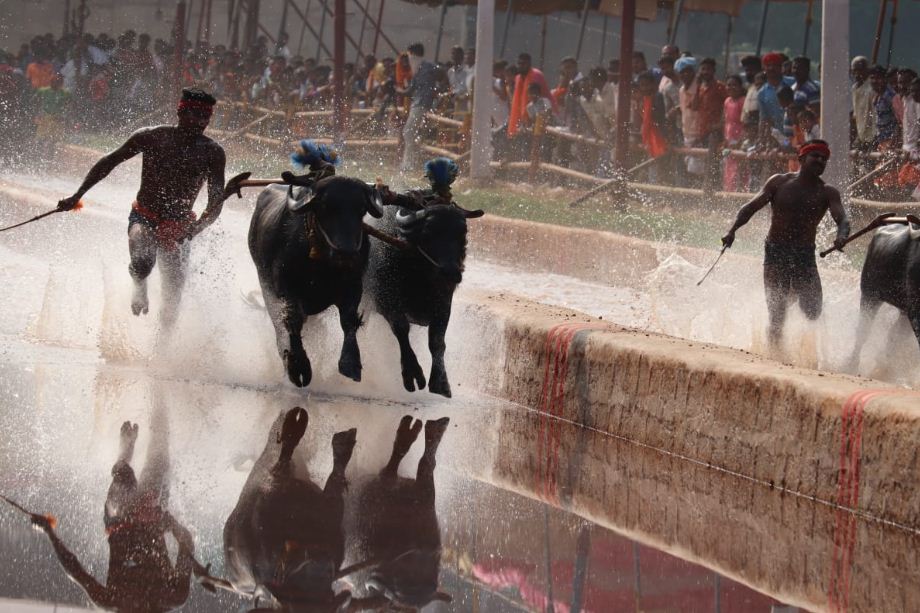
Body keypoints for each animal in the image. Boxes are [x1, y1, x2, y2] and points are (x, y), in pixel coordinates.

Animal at [249, 175, 383, 387]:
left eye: (361, 208)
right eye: (325, 206)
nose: (346, 252)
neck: (322, 267)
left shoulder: (354, 286)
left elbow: (349, 321)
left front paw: (351, 363)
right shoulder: (285, 287)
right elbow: (293, 320)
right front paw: (298, 366)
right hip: (266, 286)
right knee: (280, 327)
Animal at [366, 202, 483, 397]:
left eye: (463, 232)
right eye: (428, 233)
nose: (451, 273)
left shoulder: (443, 304)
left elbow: (437, 342)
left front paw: (441, 382)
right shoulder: (385, 300)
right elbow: (401, 328)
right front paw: (412, 372)